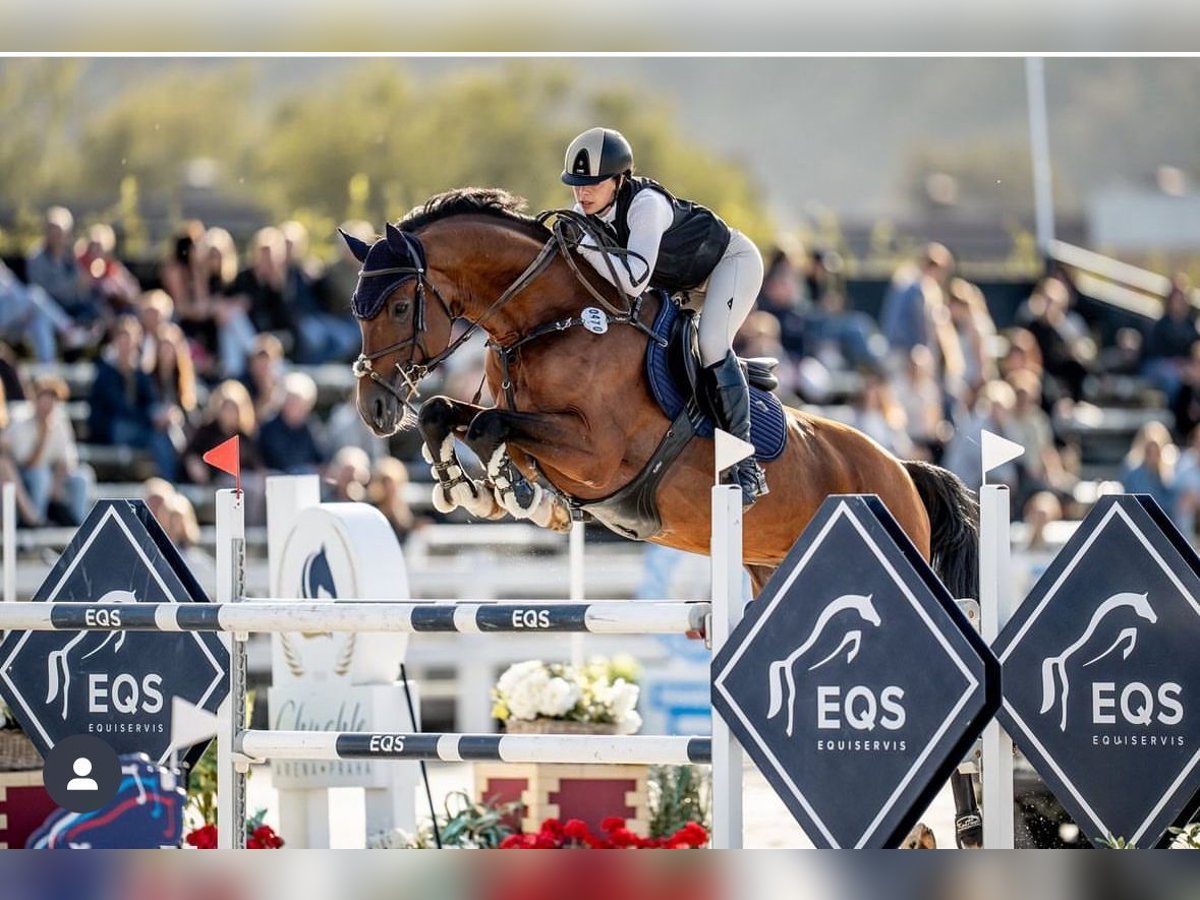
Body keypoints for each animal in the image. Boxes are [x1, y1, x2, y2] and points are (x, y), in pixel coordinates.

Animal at [338, 188, 974, 600]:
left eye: (400, 307)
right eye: (355, 309)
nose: (374, 409)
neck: (552, 319)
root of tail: (903, 471)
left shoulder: (596, 454)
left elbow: (492, 427)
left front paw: (508, 490)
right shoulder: (530, 422)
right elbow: (448, 412)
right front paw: (473, 489)